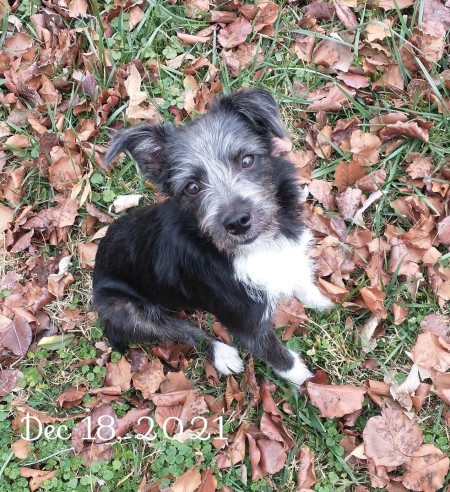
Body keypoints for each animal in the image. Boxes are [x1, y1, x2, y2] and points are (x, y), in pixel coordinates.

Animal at [93, 89, 334, 388]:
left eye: (246, 160)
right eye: (192, 187)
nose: (238, 222)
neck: (255, 246)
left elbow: (299, 277)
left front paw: (321, 301)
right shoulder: (246, 323)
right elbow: (279, 357)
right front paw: (310, 384)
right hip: (124, 308)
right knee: (178, 330)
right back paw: (222, 354)